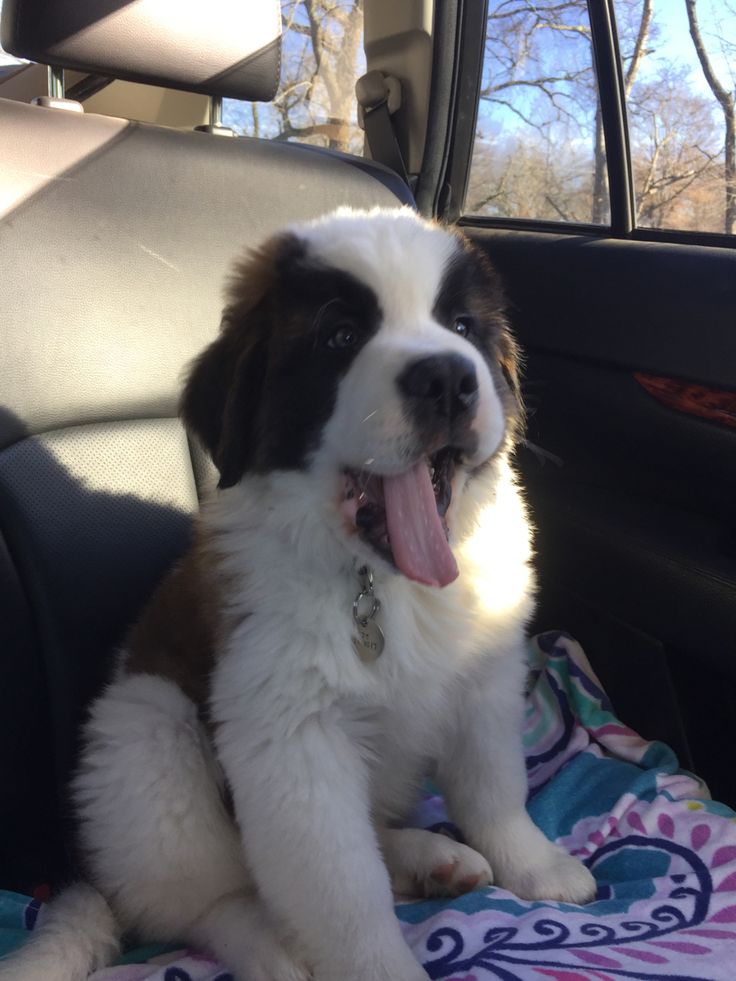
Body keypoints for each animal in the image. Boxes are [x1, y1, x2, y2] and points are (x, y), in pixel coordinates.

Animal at [2, 207, 596, 980]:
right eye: (339, 336)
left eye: (462, 325)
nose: (447, 379)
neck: (383, 580)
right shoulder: (293, 739)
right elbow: (342, 886)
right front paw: (378, 967)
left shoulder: (484, 676)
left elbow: (494, 785)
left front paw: (533, 863)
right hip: (145, 732)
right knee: (210, 899)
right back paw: (277, 949)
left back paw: (429, 856)